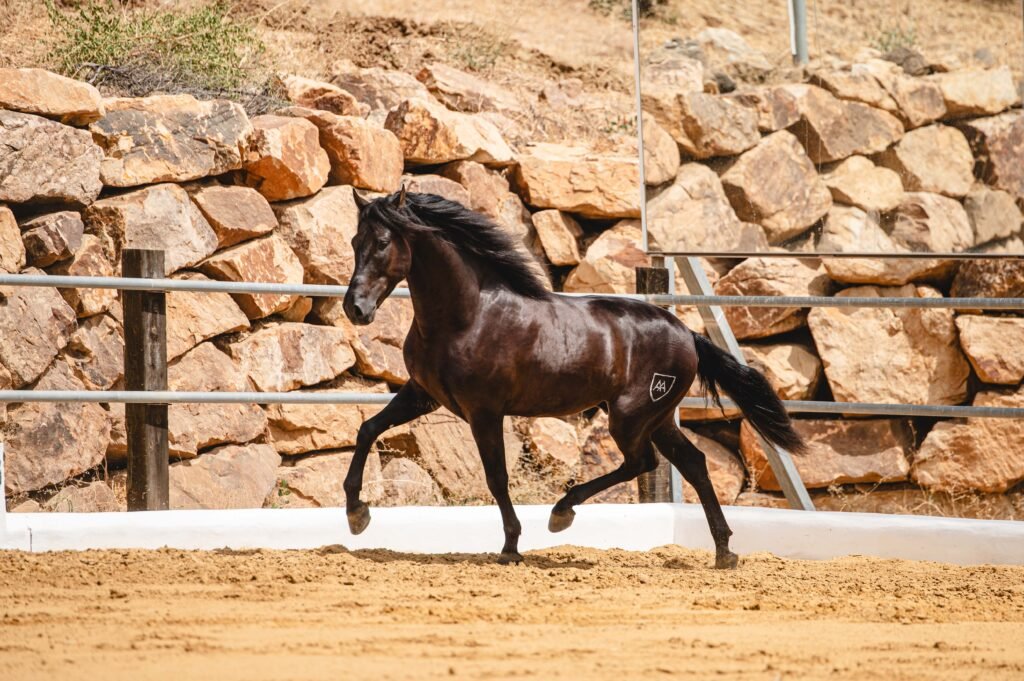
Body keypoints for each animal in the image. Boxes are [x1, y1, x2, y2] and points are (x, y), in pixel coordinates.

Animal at [341, 187, 805, 569]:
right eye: (353, 242)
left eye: (382, 243)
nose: (355, 309)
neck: (467, 316)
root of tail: (688, 333)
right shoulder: (423, 395)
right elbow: (367, 429)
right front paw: (356, 513)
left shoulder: (484, 411)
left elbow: (497, 477)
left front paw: (511, 547)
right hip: (657, 419)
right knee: (692, 463)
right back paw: (724, 552)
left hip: (631, 417)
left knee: (642, 462)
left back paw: (562, 512)